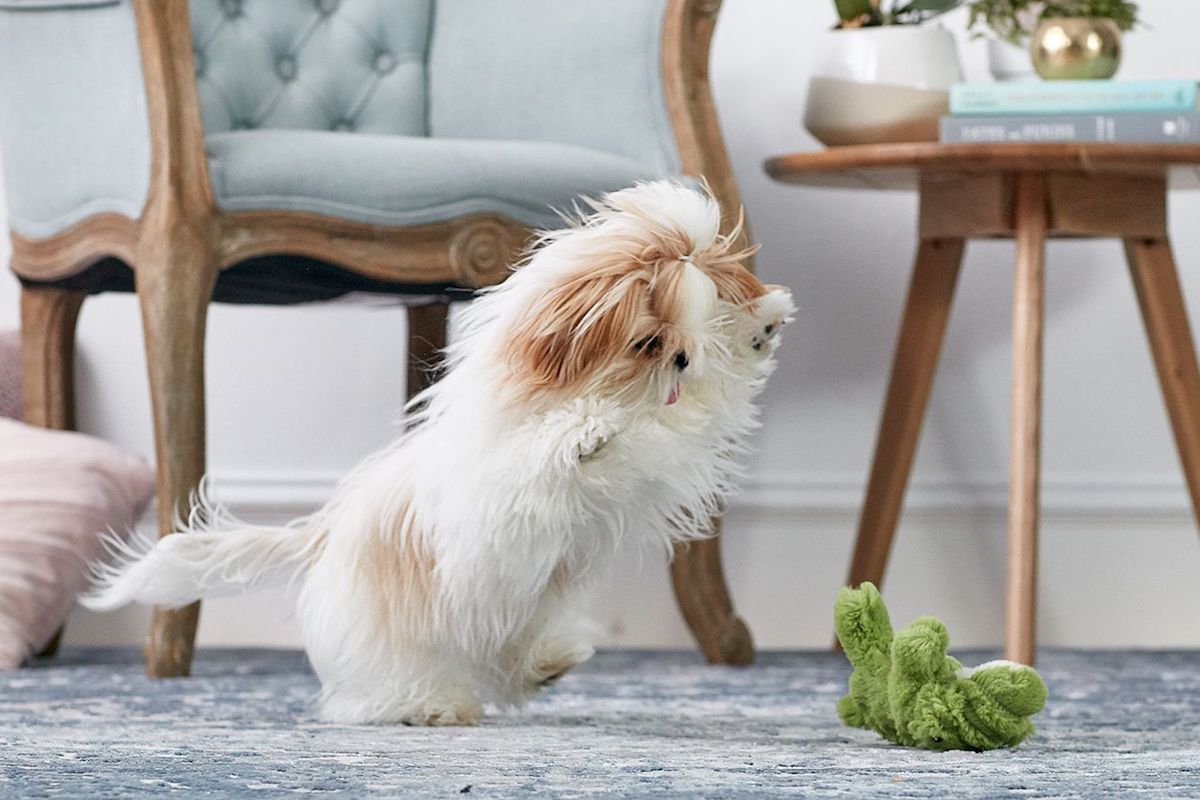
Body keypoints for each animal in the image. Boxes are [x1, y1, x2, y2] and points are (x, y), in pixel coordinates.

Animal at [87, 179, 796, 724]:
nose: (682, 361)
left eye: (692, 336)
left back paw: (546, 666)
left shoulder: (673, 443)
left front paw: (758, 326)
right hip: (401, 631)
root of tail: (325, 535)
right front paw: (585, 434)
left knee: (505, 660)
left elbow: (707, 409)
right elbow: (544, 454)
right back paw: (428, 706)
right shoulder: (498, 489)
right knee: (363, 698)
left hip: (519, 608)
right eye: (648, 341)